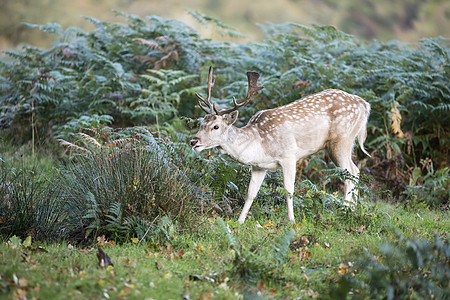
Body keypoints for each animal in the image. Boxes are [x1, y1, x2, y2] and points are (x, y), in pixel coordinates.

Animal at [190, 68, 370, 223]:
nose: (194, 141)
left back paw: (344, 212)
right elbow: (251, 193)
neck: (259, 145)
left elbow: (288, 190)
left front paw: (292, 220)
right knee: (356, 170)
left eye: (216, 126)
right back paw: (352, 211)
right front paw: (240, 221)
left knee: (350, 173)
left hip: (341, 140)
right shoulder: (259, 166)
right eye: (201, 123)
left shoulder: (288, 156)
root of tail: (365, 105)